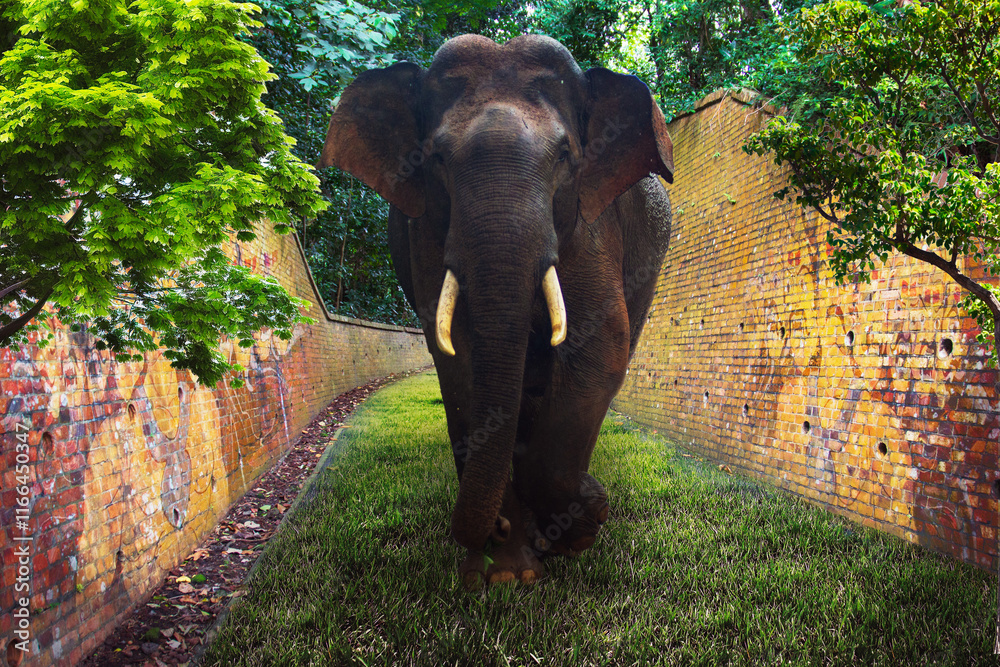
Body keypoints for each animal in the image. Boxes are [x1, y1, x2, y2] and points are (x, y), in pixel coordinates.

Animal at [319, 34, 673, 588]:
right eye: (437, 158)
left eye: (566, 156)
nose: (498, 528)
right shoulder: (427, 230)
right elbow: (458, 357)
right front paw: (505, 571)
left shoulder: (590, 222)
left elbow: (598, 344)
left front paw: (575, 524)